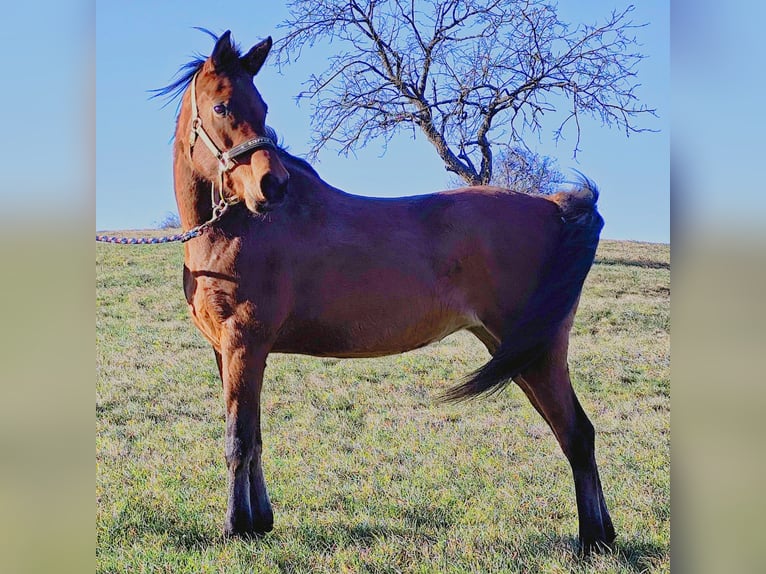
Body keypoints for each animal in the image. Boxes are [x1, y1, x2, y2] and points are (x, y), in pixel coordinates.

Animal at [156, 30, 614, 553]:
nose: (273, 185)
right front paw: (259, 522)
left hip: (538, 353)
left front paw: (235, 527)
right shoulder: (230, 351)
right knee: (576, 431)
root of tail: (553, 207)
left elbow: (238, 439)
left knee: (576, 434)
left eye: (262, 106)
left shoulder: (243, 345)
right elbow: (253, 438)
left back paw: (592, 540)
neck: (236, 229)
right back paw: (603, 535)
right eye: (224, 106)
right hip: (516, 351)